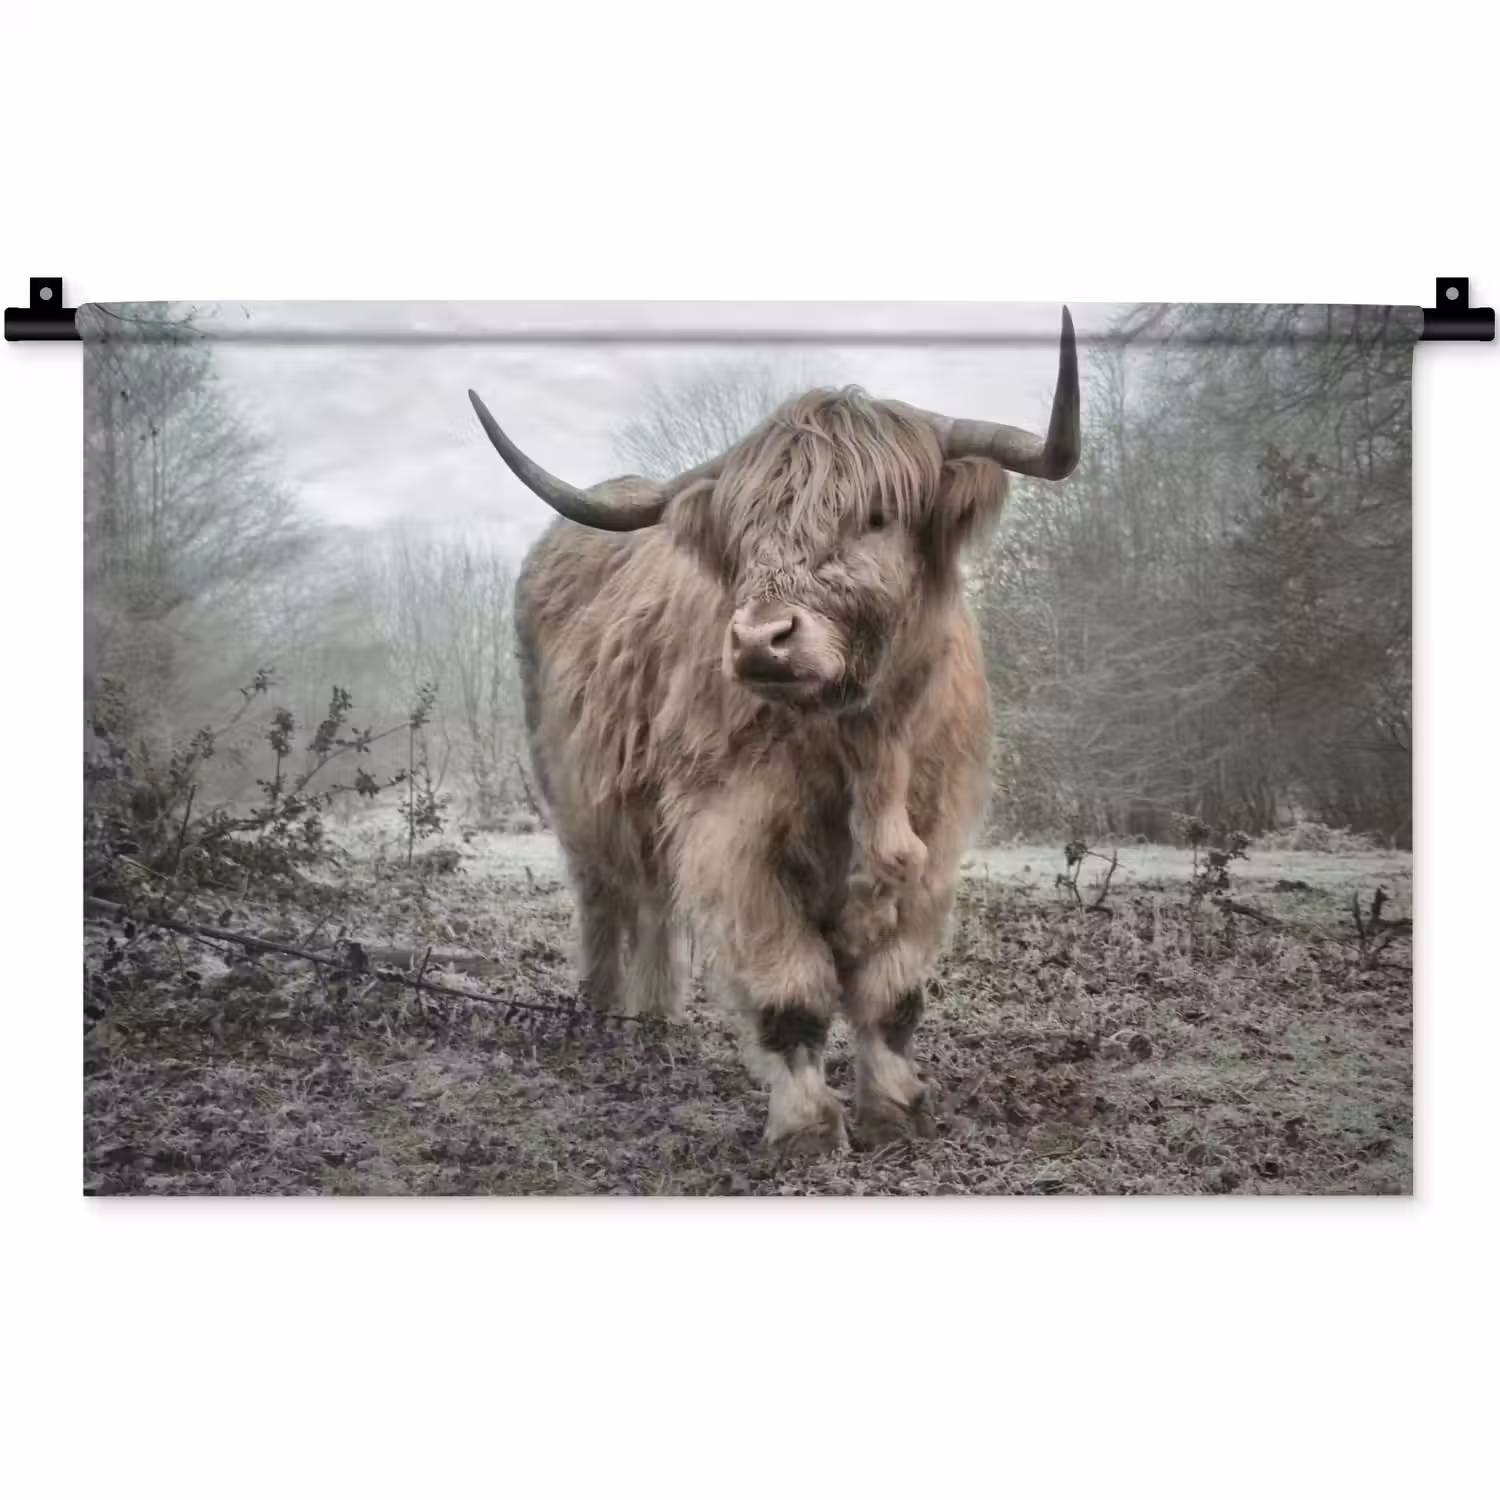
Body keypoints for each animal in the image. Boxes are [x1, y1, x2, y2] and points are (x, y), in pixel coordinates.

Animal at [468, 310, 1080, 1155]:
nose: (761, 640)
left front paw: (896, 1108)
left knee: (653, 905)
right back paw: (602, 1012)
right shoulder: (732, 835)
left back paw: (656, 1017)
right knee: (604, 898)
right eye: (745, 533)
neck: (865, 744)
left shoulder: (936, 837)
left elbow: (892, 994)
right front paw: (807, 1127)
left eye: (876, 517)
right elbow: (791, 991)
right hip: (573, 794)